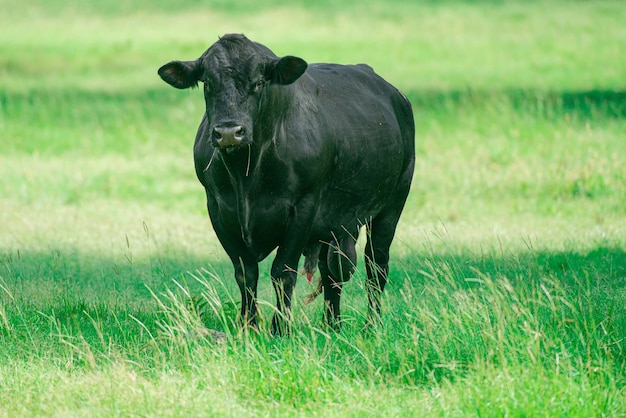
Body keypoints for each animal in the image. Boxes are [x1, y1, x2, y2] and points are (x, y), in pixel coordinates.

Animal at [158, 32, 412, 334]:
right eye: (208, 83)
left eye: (258, 82)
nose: (229, 132)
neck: (247, 175)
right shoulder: (218, 208)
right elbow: (245, 273)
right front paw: (249, 326)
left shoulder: (303, 207)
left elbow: (283, 271)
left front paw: (280, 329)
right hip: (334, 225)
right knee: (332, 273)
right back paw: (331, 325)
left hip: (392, 204)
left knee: (376, 267)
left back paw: (370, 326)